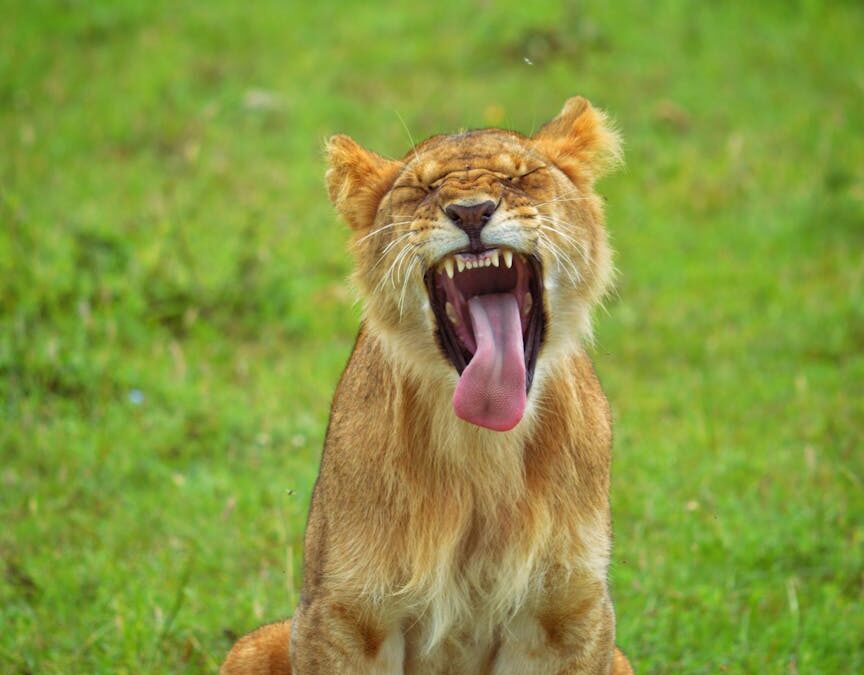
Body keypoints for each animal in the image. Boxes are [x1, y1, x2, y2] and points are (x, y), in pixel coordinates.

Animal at [221, 96, 634, 674]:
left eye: (520, 177)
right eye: (421, 189)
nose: (471, 213)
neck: (484, 445)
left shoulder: (566, 615)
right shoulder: (345, 613)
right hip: (255, 645)